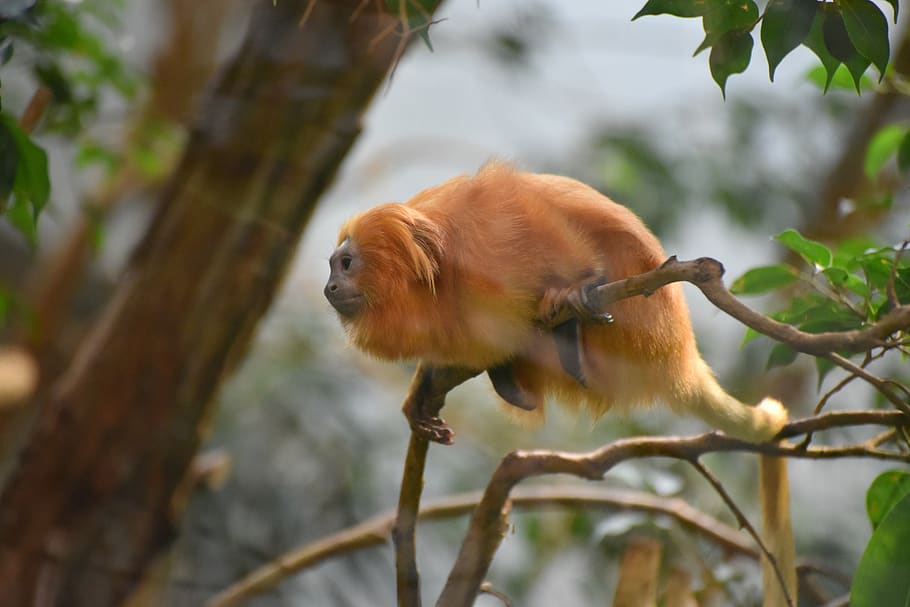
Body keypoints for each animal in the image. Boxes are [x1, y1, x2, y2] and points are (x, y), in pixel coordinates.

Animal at [325, 162, 787, 445]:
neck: (440, 280)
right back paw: (512, 381)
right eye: (332, 266)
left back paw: (567, 335)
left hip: (642, 318)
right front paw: (422, 392)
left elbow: (549, 229)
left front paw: (576, 287)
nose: (329, 287)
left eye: (346, 264)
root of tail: (680, 352)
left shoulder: (489, 234)